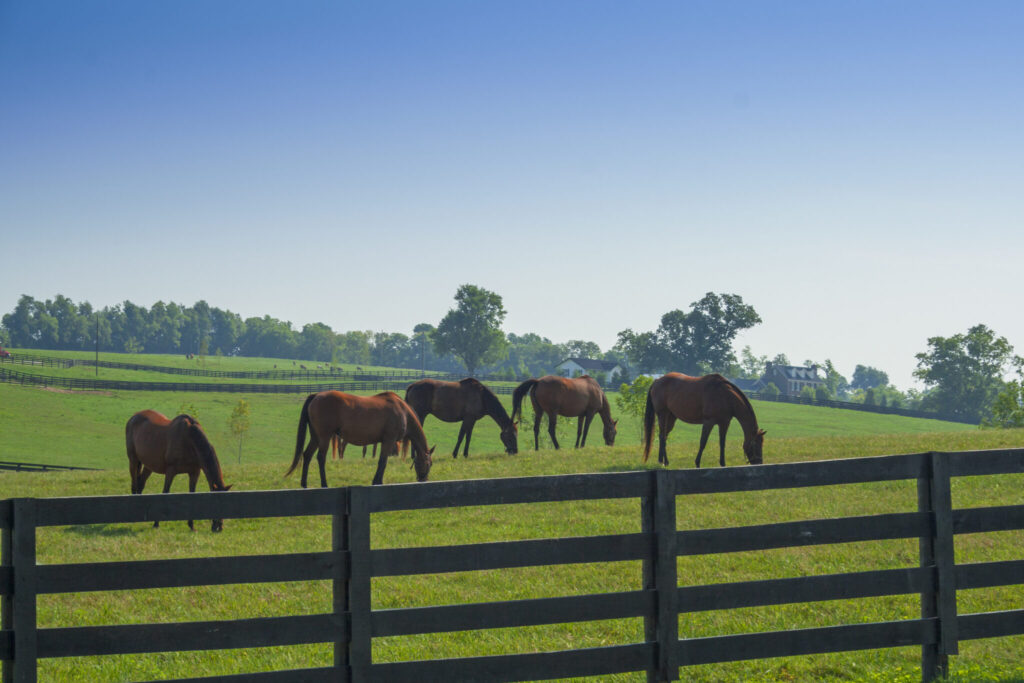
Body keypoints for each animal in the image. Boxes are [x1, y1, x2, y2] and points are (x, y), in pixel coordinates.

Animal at [286, 391, 434, 486]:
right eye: (430, 464)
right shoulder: (389, 440)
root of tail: (316, 395)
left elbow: (382, 461)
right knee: (320, 458)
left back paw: (304, 484)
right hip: (324, 437)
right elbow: (382, 462)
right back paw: (324, 484)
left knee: (307, 455)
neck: (403, 411)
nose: (423, 480)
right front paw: (377, 481)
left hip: (316, 437)